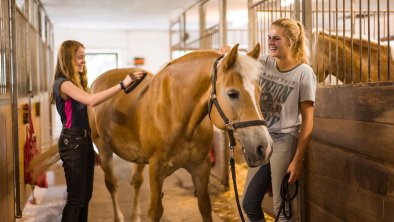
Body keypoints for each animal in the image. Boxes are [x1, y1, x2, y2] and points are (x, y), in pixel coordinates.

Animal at [88, 43, 274, 222]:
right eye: (233, 93)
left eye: (259, 91)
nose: (265, 148)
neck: (177, 113)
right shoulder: (156, 169)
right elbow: (155, 211)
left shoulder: (201, 167)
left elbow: (205, 208)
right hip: (103, 149)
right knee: (112, 183)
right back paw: (118, 217)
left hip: (138, 157)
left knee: (137, 182)